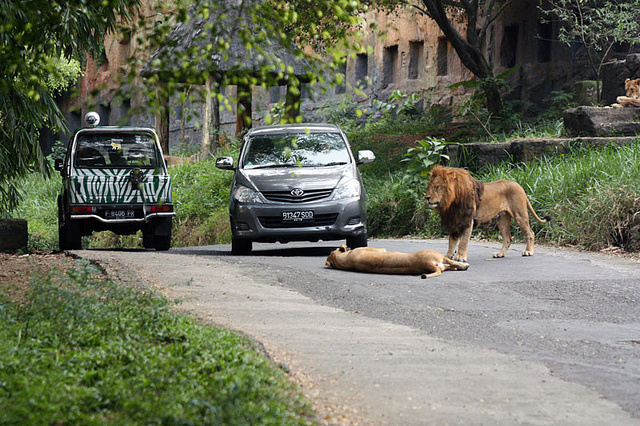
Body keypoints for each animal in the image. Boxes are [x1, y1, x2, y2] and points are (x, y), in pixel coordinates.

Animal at [324, 243, 470, 280]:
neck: (345, 259)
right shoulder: (381, 249)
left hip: (440, 263)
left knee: (449, 266)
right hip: (439, 256)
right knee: (453, 264)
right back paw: (464, 265)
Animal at [424, 166, 552, 262]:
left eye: (436, 187)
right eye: (429, 187)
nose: (427, 197)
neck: (451, 202)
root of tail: (520, 186)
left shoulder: (467, 221)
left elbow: (463, 241)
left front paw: (460, 257)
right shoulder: (454, 221)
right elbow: (451, 241)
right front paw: (448, 256)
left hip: (520, 215)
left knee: (530, 233)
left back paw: (529, 251)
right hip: (502, 220)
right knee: (508, 238)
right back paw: (500, 254)